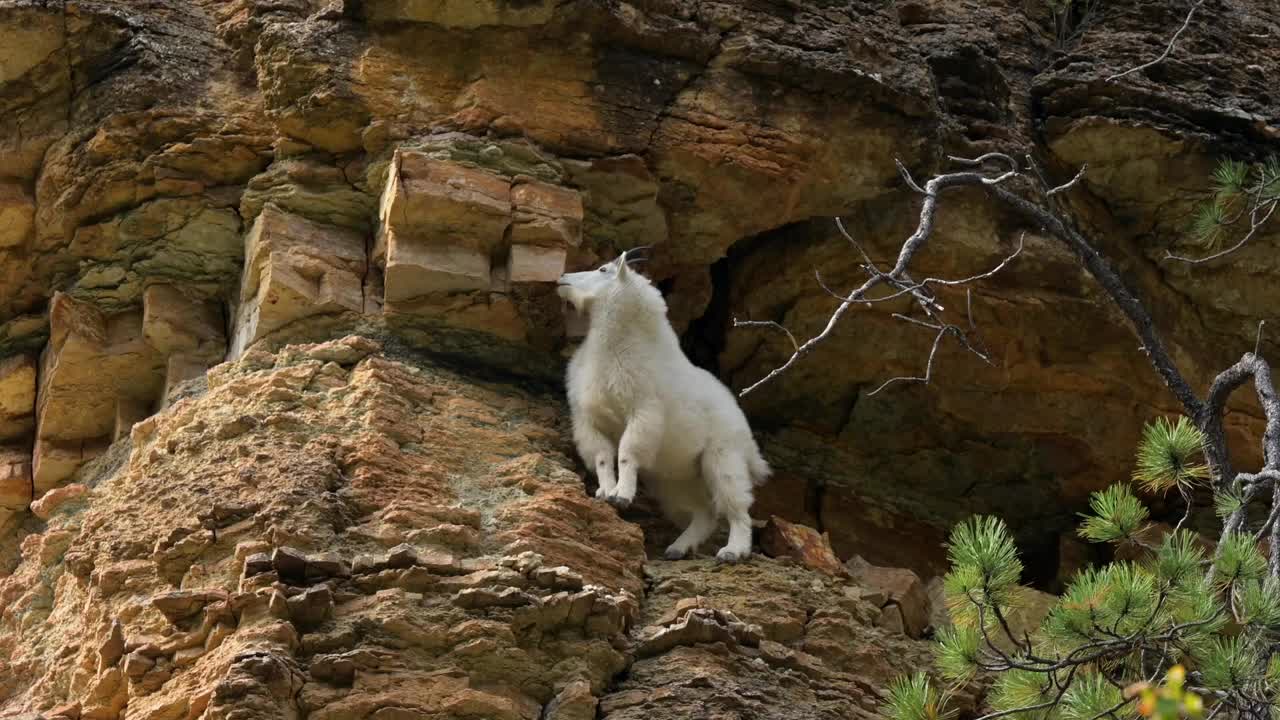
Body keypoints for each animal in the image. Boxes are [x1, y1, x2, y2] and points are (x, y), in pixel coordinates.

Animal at [552, 248, 768, 561]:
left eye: (603, 270)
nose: (563, 277)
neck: (613, 347)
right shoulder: (589, 421)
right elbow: (603, 457)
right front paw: (605, 493)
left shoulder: (642, 412)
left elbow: (626, 453)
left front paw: (622, 495)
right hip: (675, 481)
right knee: (704, 513)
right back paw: (678, 548)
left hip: (724, 457)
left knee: (737, 508)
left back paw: (733, 550)